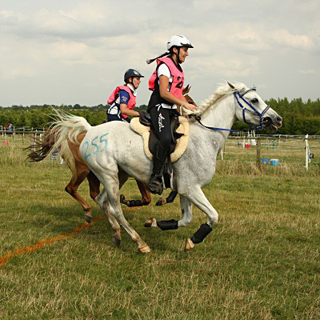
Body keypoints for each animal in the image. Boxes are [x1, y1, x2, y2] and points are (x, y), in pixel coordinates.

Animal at [25, 86, 195, 224]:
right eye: (189, 101)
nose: (196, 114)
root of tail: (85, 131)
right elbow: (147, 199)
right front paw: (129, 201)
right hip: (83, 169)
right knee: (70, 188)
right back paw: (88, 211)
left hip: (93, 173)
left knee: (93, 193)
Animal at [53, 82, 282, 252]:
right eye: (254, 100)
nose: (277, 119)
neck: (205, 136)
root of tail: (91, 131)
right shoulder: (192, 189)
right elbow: (213, 216)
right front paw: (194, 240)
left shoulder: (185, 190)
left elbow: (186, 219)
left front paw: (155, 223)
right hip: (108, 175)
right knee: (115, 207)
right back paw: (139, 243)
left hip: (121, 174)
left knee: (102, 201)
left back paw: (117, 235)